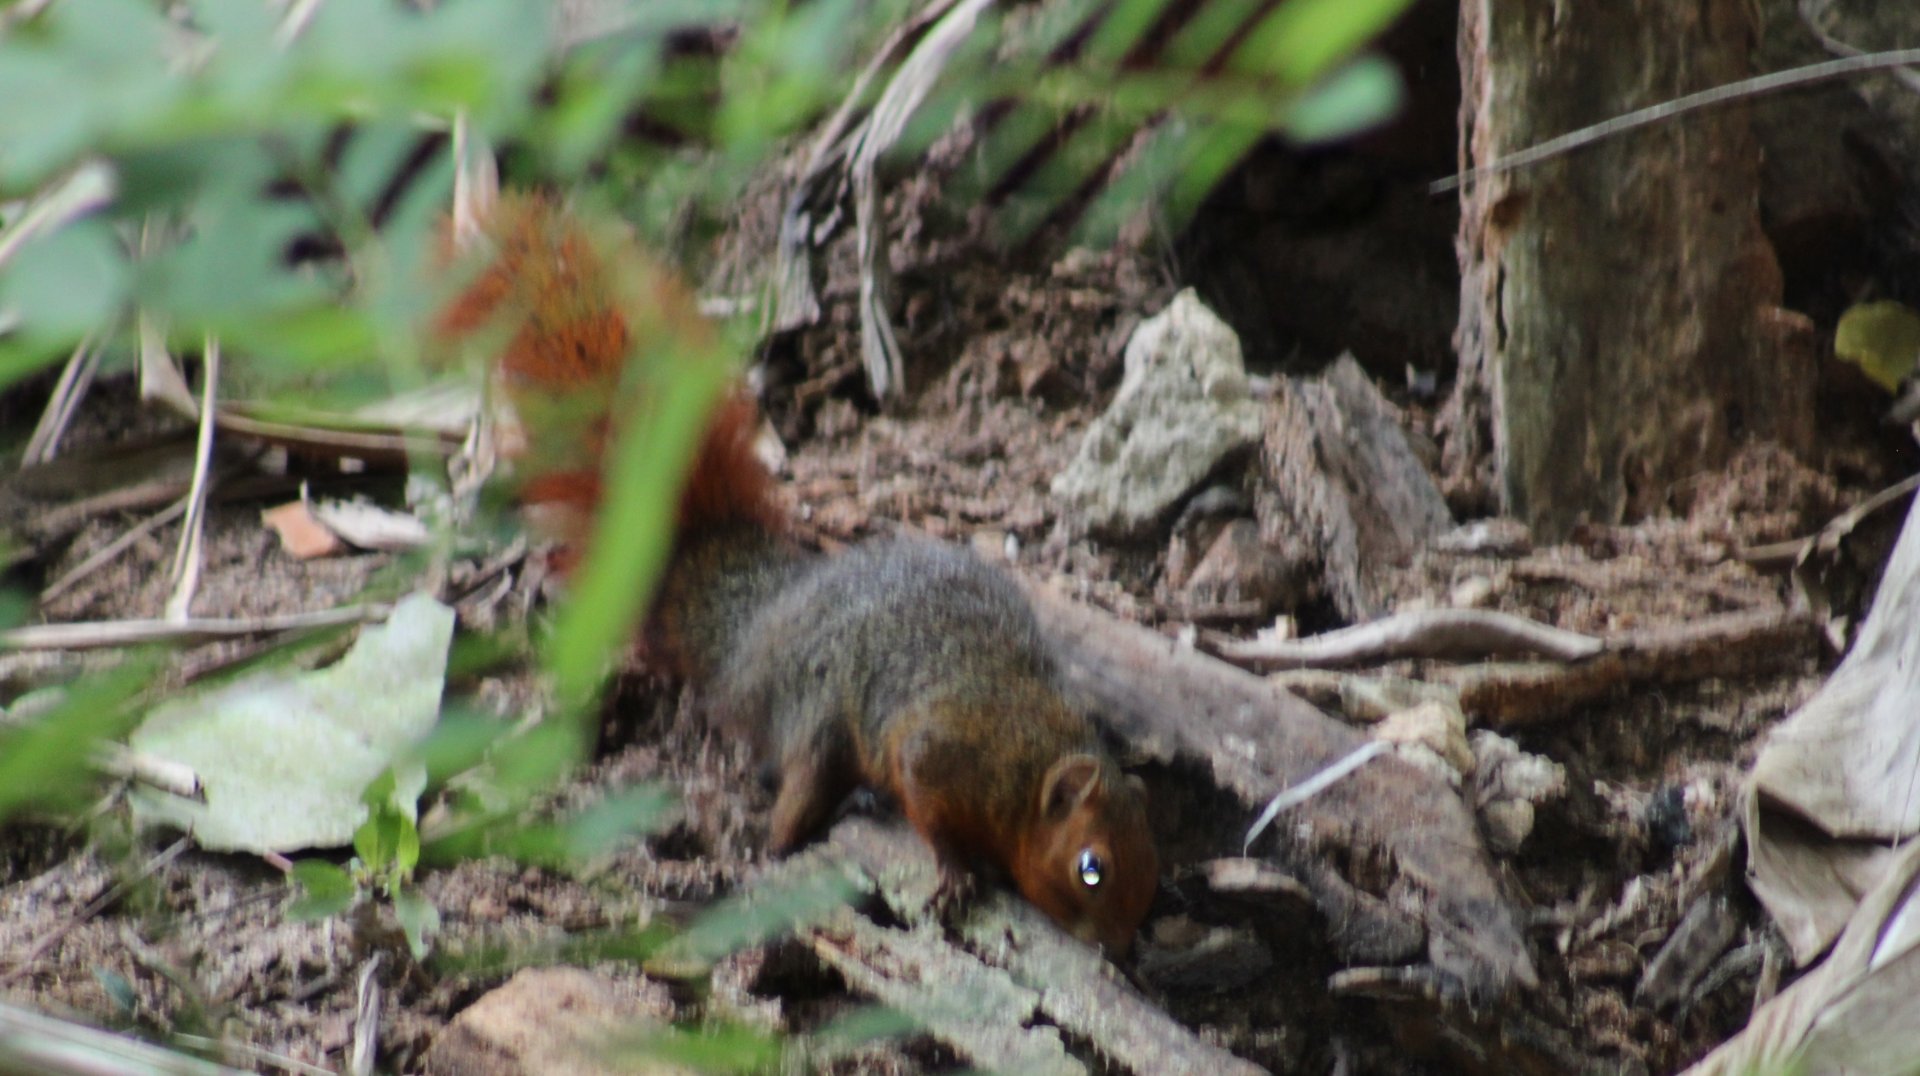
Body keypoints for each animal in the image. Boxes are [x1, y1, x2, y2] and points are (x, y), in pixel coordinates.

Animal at [434, 193, 1158, 956]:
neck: (1031, 760)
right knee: (797, 796)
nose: (1119, 944)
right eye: (1091, 868)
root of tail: (754, 620)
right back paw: (784, 843)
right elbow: (928, 808)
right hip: (815, 725)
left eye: (1154, 865)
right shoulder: (942, 754)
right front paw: (957, 872)